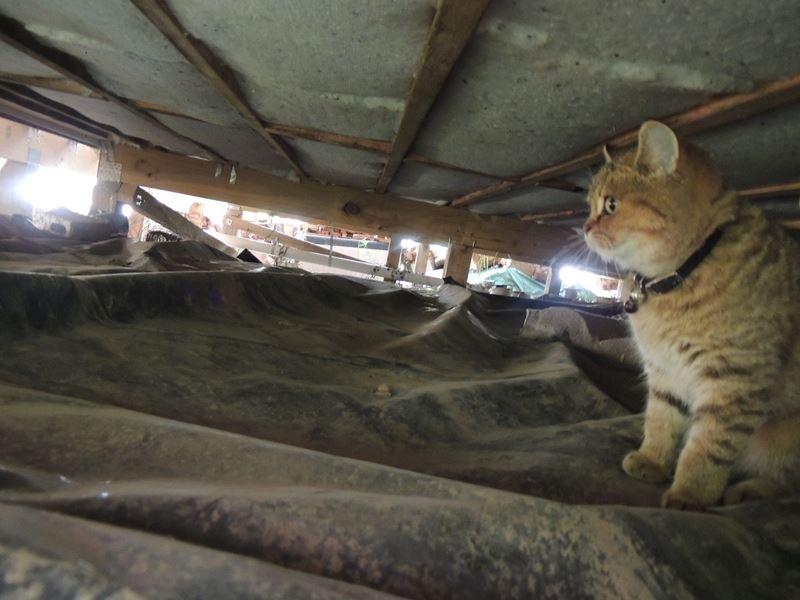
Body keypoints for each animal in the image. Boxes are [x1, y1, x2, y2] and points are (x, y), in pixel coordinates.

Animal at [580, 122, 800, 510]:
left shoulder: (733, 380)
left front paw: (690, 494)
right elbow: (661, 420)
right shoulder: (664, 371)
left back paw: (749, 490)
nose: (586, 226)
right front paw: (652, 459)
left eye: (611, 204)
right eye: (590, 205)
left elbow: (707, 447)